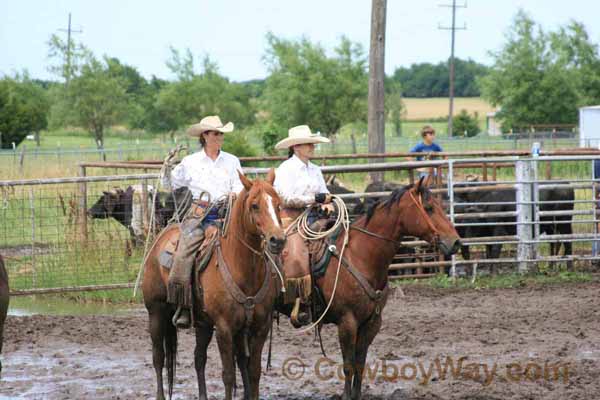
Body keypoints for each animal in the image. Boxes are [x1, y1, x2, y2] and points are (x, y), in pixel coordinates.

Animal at [144, 170, 288, 400]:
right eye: (254, 205)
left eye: (278, 204)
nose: (278, 240)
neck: (242, 268)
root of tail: (160, 238)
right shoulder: (224, 327)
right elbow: (228, 374)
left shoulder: (260, 326)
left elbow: (253, 371)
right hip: (156, 312)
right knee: (159, 358)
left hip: (203, 323)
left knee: (199, 358)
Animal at [308, 178, 462, 400]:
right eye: (429, 208)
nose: (456, 241)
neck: (359, 255)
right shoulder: (347, 322)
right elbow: (348, 365)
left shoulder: (372, 322)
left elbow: (359, 364)